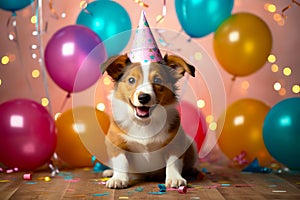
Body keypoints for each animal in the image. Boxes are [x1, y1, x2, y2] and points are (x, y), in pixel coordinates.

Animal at [102, 54, 198, 188]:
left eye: (157, 80)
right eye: (131, 80)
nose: (143, 97)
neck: (144, 123)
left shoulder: (176, 144)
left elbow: (172, 163)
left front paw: (174, 178)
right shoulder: (116, 142)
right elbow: (121, 162)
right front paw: (118, 178)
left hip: (191, 144)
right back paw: (110, 172)